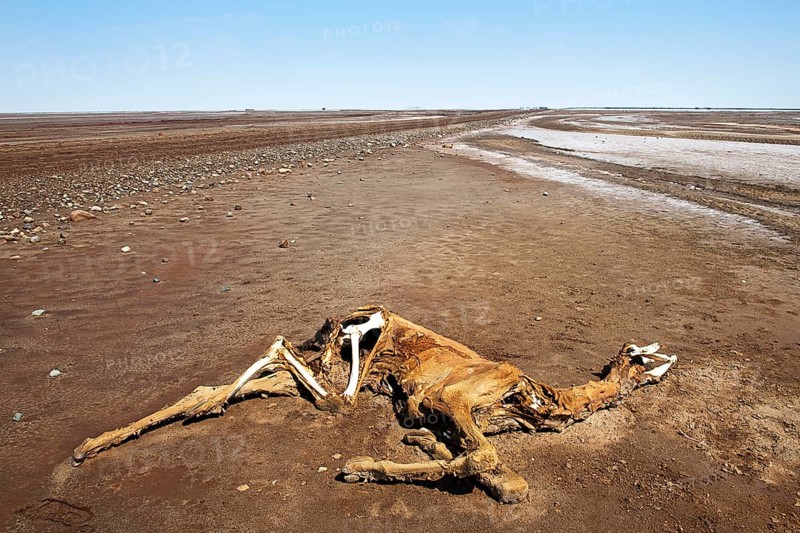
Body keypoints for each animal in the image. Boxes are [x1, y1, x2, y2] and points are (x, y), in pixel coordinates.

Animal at [72, 305, 677, 503]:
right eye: (642, 357)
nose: (672, 359)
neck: (535, 398)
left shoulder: (455, 414)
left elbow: (495, 472)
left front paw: (421, 445)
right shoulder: (454, 395)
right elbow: (483, 461)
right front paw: (362, 467)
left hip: (320, 370)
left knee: (221, 391)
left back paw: (87, 447)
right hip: (355, 348)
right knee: (314, 379)